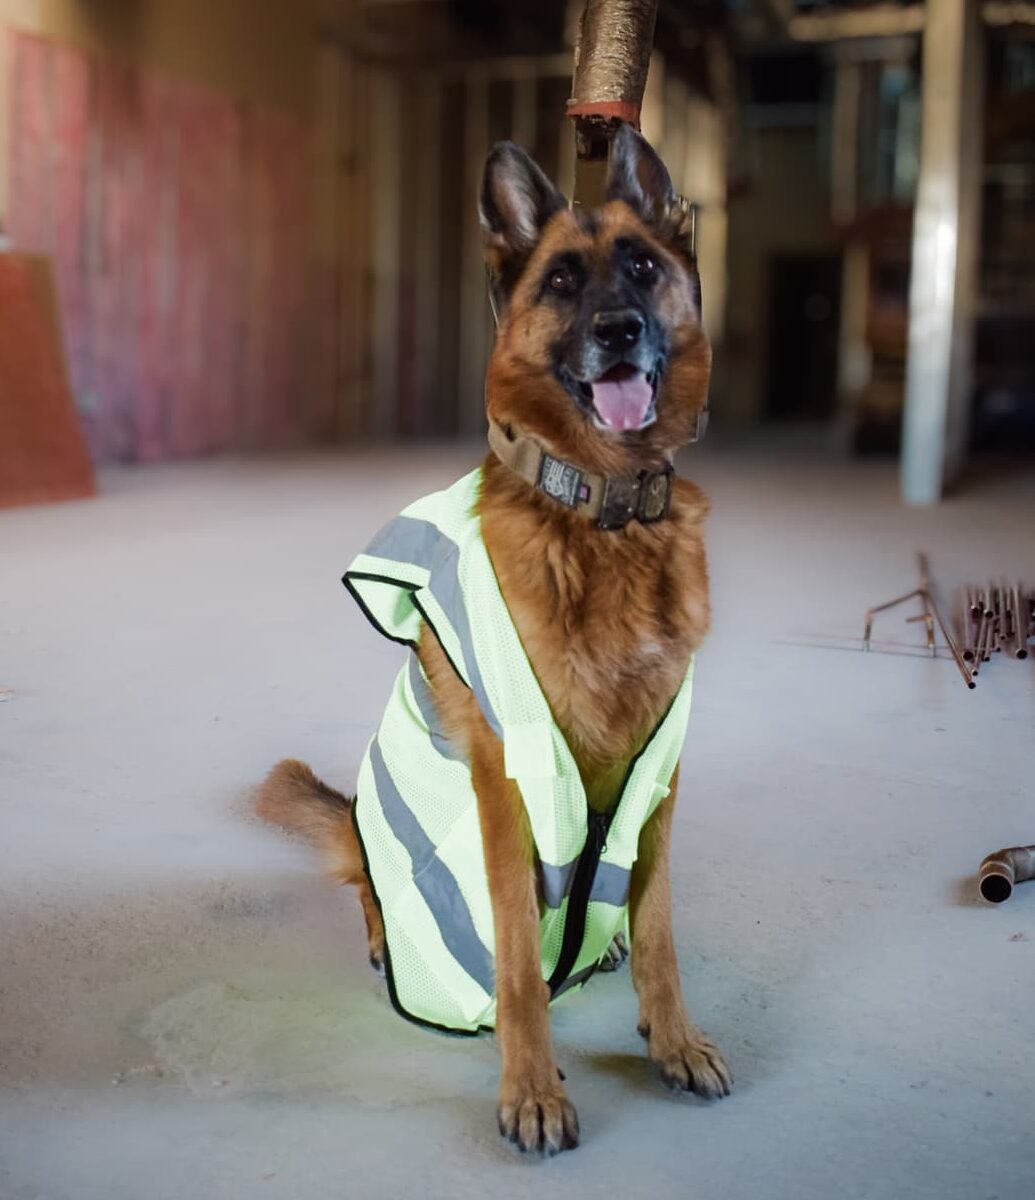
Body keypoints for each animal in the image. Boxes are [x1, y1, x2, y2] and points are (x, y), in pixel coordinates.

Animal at [256, 124, 730, 1152]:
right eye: (560, 282)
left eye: (641, 266)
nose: (617, 329)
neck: (601, 518)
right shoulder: (512, 782)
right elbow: (516, 954)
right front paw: (532, 1088)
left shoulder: (657, 776)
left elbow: (660, 928)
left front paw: (672, 1037)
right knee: (368, 884)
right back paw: (385, 938)